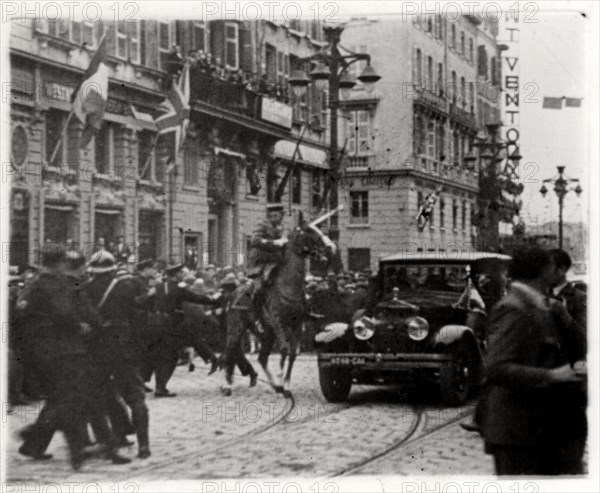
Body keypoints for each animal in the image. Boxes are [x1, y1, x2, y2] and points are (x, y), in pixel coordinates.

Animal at [220, 215, 336, 396]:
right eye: (310, 232)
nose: (331, 247)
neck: (288, 286)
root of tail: (233, 293)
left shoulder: (296, 325)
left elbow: (292, 354)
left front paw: (285, 385)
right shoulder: (278, 323)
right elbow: (284, 350)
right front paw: (282, 380)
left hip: (267, 334)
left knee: (261, 358)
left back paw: (274, 385)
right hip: (236, 328)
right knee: (229, 352)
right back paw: (227, 386)